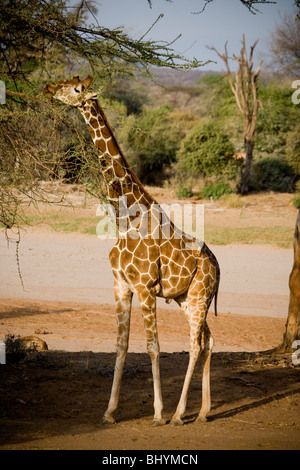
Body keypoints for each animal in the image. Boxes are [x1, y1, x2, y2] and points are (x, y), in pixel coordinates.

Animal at [43, 77, 219, 426]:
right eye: (68, 82)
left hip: (198, 296)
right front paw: (109, 412)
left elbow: (153, 346)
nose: (49, 88)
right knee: (208, 340)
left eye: (77, 89)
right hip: (189, 298)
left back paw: (178, 415)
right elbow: (121, 345)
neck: (127, 218)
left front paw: (158, 413)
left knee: (195, 344)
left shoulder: (146, 287)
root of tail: (218, 267)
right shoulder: (121, 285)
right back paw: (204, 412)